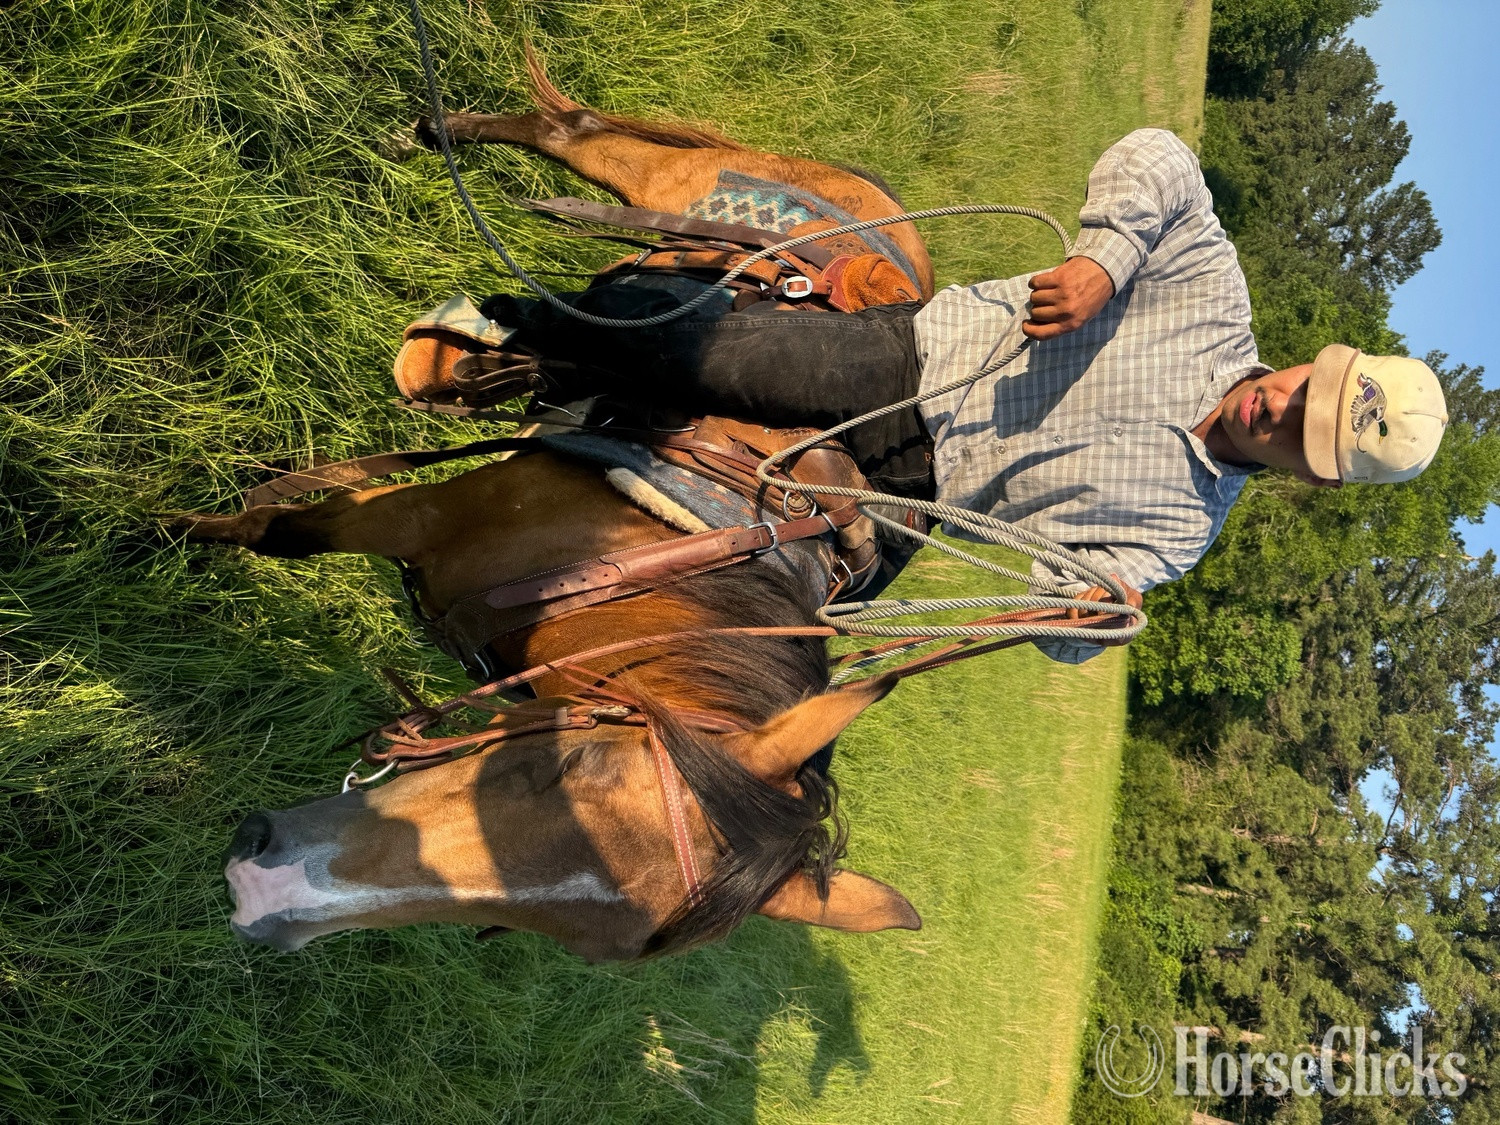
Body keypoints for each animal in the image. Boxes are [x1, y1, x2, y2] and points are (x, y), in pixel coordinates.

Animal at [178, 52, 933, 962]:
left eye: (589, 945)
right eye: (570, 761)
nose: (266, 892)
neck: (630, 572)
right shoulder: (416, 514)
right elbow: (279, 531)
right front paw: (174, 531)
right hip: (655, 180)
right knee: (569, 132)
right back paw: (440, 136)